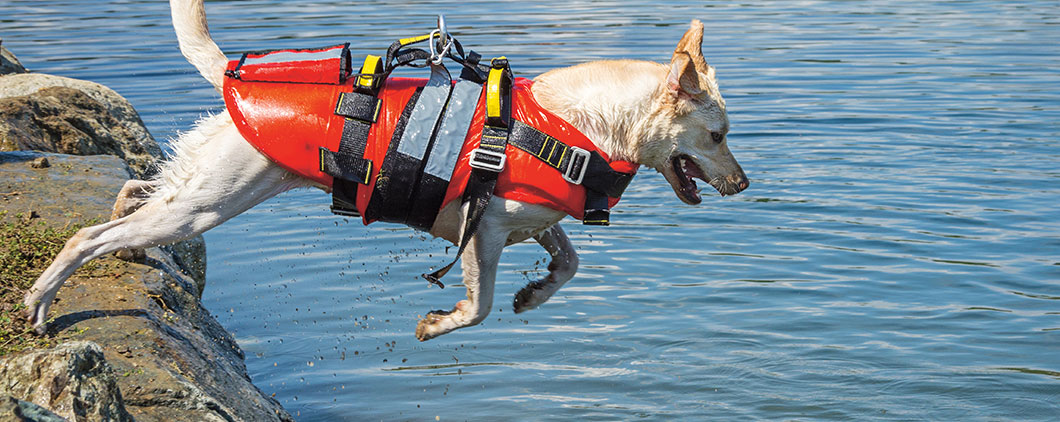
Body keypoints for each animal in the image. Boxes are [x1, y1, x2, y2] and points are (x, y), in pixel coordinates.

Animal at [26, 0, 754, 341]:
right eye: (718, 136)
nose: (745, 184)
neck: (576, 126)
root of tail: (231, 70)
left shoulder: (531, 220)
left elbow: (569, 261)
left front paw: (536, 293)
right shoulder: (484, 233)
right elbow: (479, 306)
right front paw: (441, 323)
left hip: (206, 191)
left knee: (135, 188)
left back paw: (125, 232)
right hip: (207, 202)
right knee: (85, 237)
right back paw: (40, 301)